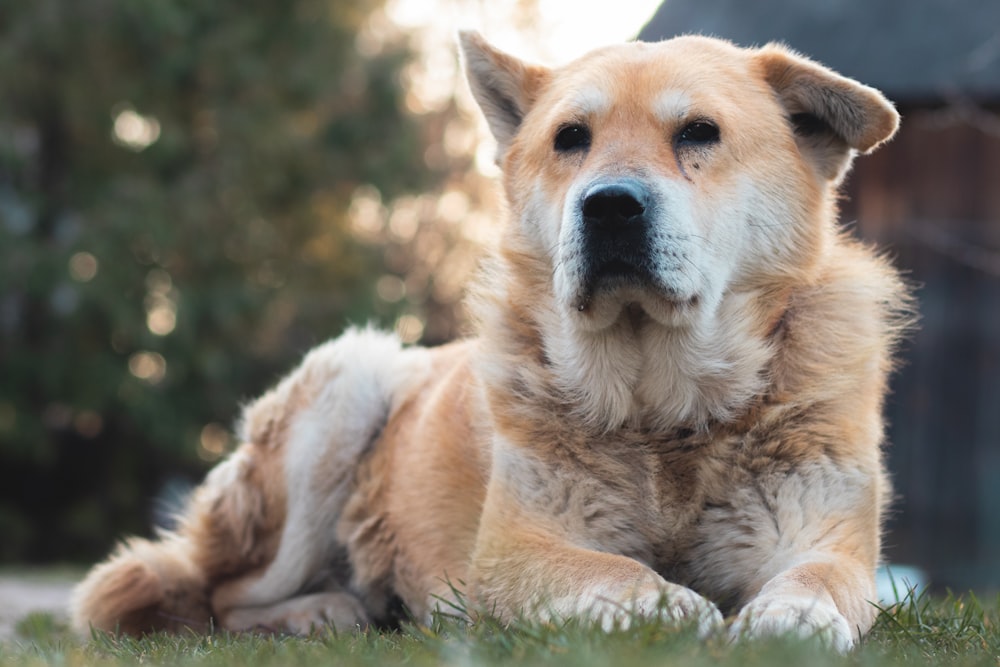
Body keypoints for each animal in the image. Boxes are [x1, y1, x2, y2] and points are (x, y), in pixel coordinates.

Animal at [72, 32, 916, 652]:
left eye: (699, 132)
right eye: (571, 138)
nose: (609, 206)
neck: (663, 411)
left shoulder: (822, 537)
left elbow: (818, 580)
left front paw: (793, 619)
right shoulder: (516, 548)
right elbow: (614, 572)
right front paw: (671, 608)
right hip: (348, 380)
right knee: (215, 595)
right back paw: (323, 613)